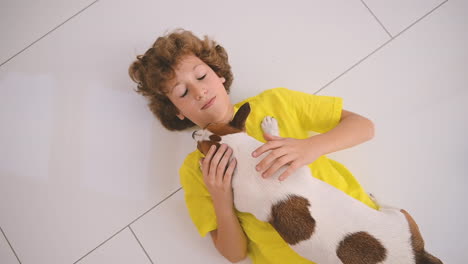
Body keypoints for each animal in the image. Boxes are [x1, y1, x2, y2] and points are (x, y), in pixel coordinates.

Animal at [193, 103, 442, 264]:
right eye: (209, 123)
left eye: (199, 147)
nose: (194, 133)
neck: (241, 154)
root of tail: (418, 256)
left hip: (401, 216)